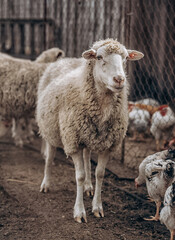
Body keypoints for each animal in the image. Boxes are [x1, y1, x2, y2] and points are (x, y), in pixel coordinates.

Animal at [36, 38, 144, 223]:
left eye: (125, 58)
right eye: (99, 57)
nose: (119, 79)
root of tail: (66, 59)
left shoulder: (108, 144)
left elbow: (100, 174)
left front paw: (97, 207)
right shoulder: (73, 142)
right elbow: (78, 176)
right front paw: (79, 212)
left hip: (88, 135)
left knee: (87, 158)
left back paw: (88, 186)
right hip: (51, 130)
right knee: (49, 158)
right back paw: (46, 184)